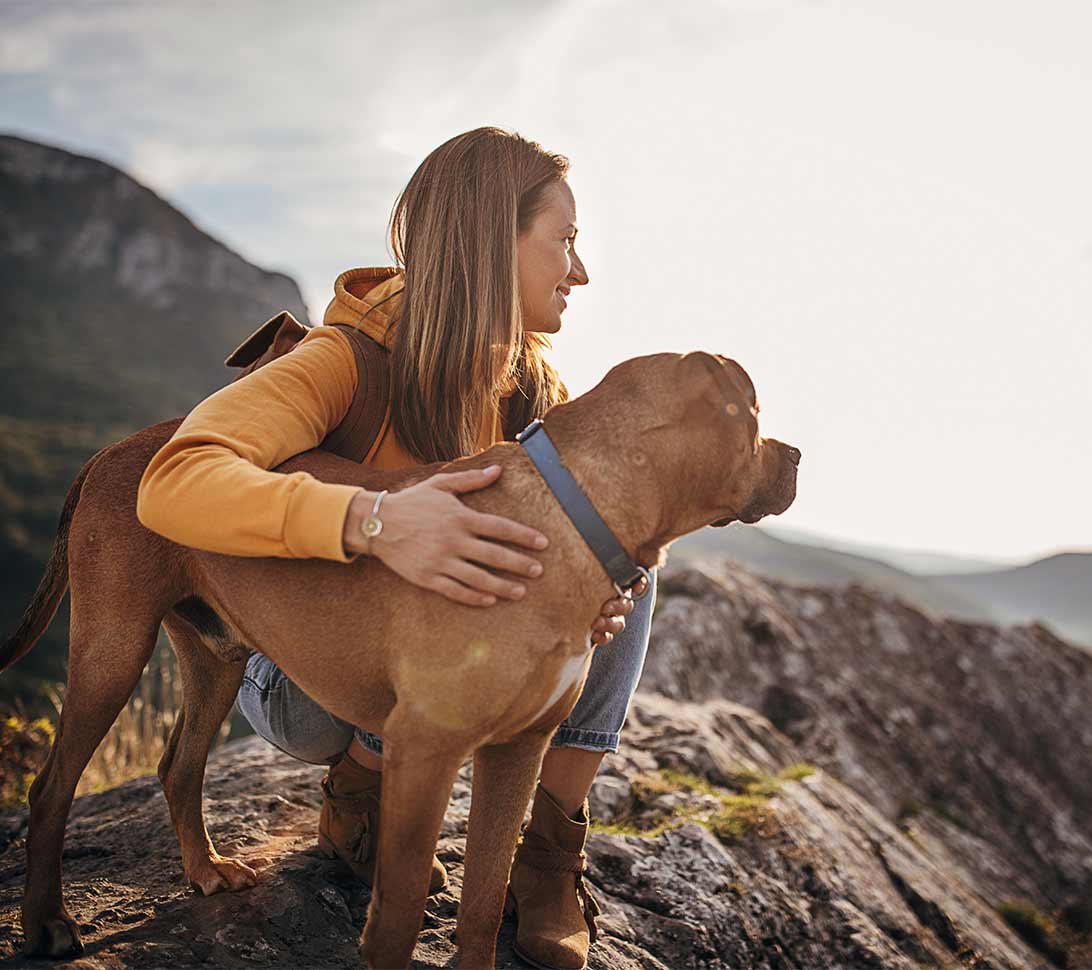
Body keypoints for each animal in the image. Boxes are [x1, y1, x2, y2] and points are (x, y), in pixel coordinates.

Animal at [2, 349, 803, 970]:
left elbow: (483, 898)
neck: (574, 511)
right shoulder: (427, 750)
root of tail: (117, 450)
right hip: (113, 647)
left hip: (215, 656)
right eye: (755, 414)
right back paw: (48, 925)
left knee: (179, 766)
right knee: (51, 787)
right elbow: (401, 908)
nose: (798, 456)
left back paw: (205, 870)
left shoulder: (517, 751)